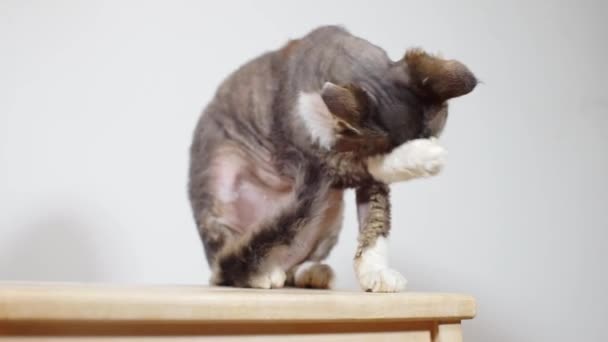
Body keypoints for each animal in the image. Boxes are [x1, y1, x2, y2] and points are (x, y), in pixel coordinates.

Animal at [188, 25, 478, 292]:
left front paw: (376, 273)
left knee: (294, 263)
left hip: (329, 214)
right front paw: (422, 155)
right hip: (221, 190)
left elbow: (376, 223)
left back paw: (312, 273)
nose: (426, 143)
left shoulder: (364, 183)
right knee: (231, 265)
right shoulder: (305, 154)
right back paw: (261, 274)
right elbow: (365, 162)